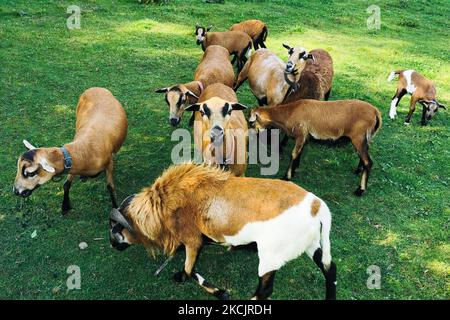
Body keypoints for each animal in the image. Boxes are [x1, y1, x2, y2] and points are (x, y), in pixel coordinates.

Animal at [107, 162, 336, 300]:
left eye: (115, 227)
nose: (112, 244)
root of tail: (317, 206)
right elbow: (190, 267)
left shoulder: (192, 239)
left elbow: (190, 269)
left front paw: (220, 292)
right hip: (311, 244)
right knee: (329, 268)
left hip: (271, 256)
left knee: (264, 291)